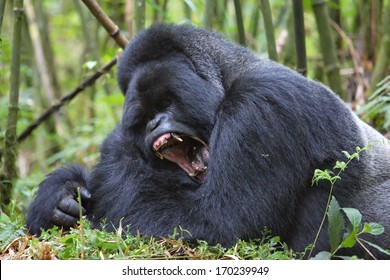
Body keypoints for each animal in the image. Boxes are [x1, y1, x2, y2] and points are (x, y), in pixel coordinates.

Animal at [25, 23, 388, 258]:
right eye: (144, 117)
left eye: (166, 102)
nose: (154, 123)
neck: (229, 77)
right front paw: (59, 197)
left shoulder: (263, 107)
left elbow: (217, 223)